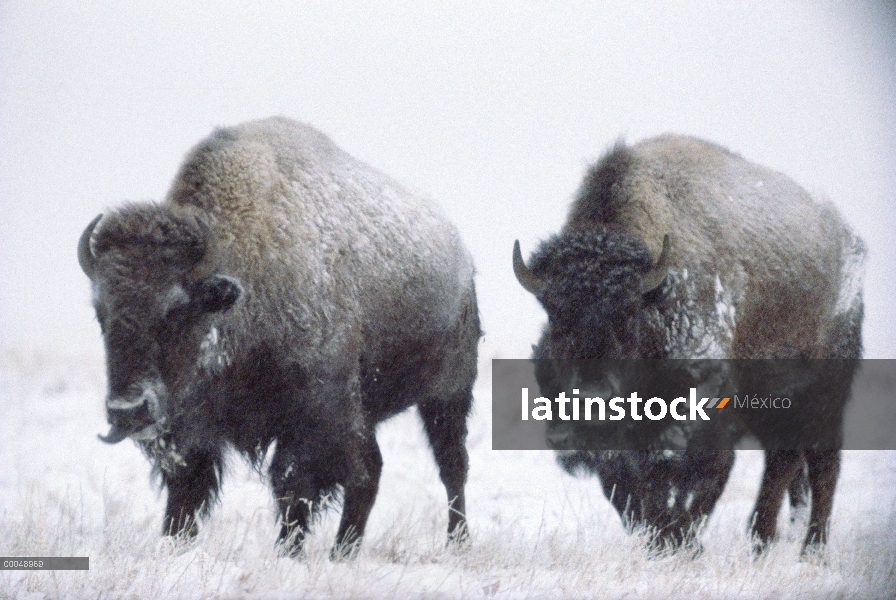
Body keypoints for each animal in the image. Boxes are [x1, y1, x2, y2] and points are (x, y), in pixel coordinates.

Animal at [80, 116, 480, 556]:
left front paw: (288, 553)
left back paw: (457, 542)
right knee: (371, 473)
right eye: (101, 314)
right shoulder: (192, 429)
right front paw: (173, 543)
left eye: (177, 310)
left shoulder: (313, 417)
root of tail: (463, 257)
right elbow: (186, 489)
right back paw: (343, 553)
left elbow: (292, 485)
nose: (127, 410)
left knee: (451, 466)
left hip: (447, 395)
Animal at [516, 135, 864, 552]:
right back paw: (760, 543)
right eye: (554, 317)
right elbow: (633, 489)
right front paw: (663, 540)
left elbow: (699, 475)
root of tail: (847, 238)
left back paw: (811, 551)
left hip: (826, 390)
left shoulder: (701, 413)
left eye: (628, 316)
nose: (588, 405)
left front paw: (682, 542)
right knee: (783, 459)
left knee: (822, 463)